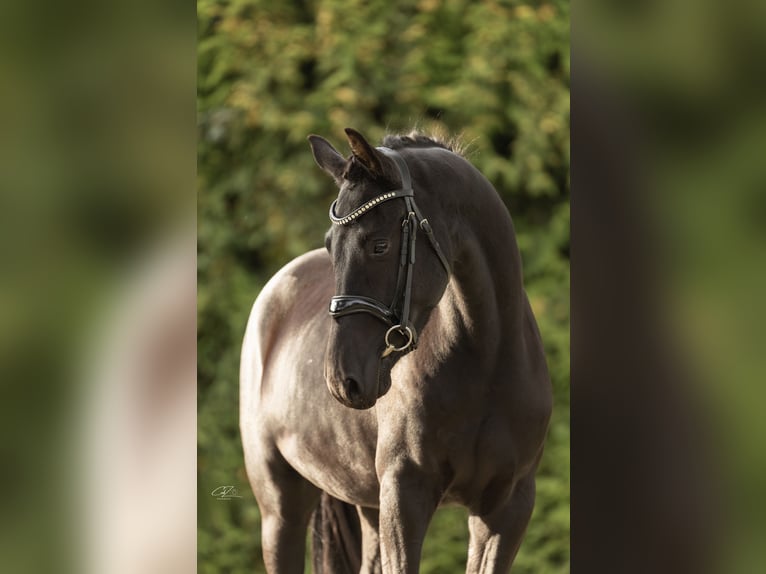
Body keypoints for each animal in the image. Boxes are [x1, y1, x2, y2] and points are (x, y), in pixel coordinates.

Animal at [240, 128, 552, 573]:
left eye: (380, 245)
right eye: (331, 245)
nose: (342, 379)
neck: (487, 364)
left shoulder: (507, 509)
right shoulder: (404, 499)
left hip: (369, 507)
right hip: (281, 507)